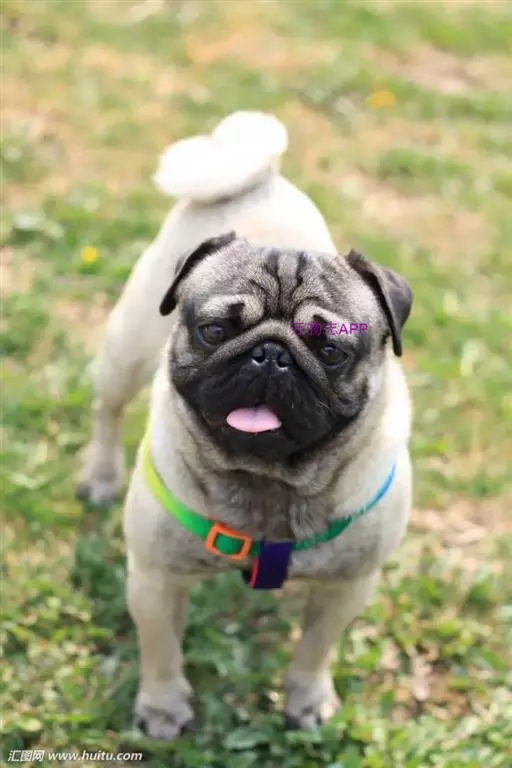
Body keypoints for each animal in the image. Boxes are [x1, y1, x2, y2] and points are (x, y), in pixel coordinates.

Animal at [77, 111, 413, 739]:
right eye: (214, 331)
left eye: (331, 351)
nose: (270, 354)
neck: (269, 484)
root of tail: (262, 176)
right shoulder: (154, 578)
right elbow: (162, 651)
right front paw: (163, 708)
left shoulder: (347, 587)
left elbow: (315, 650)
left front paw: (308, 701)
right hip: (126, 350)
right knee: (107, 410)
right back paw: (100, 477)